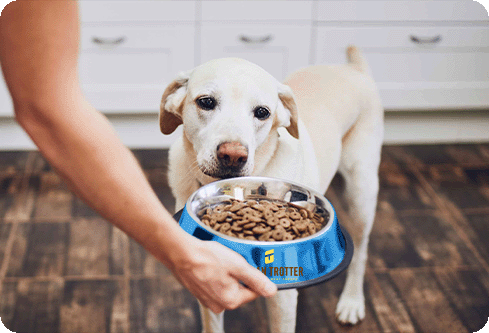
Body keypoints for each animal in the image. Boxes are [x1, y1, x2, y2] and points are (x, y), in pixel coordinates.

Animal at [159, 46, 382, 330]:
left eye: (262, 112)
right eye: (206, 102)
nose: (233, 155)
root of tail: (353, 68)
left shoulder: (281, 300)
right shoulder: (209, 282)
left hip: (361, 192)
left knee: (361, 251)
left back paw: (352, 302)